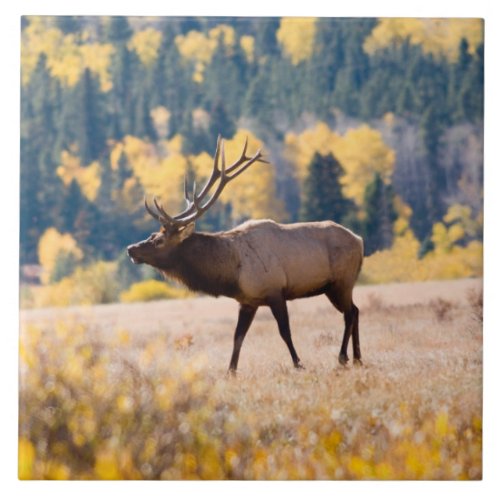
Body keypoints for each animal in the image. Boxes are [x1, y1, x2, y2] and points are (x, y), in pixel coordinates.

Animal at [127, 137, 364, 372]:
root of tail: (360, 240)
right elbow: (237, 337)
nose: (131, 249)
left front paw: (298, 364)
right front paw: (230, 371)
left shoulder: (275, 291)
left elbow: (285, 331)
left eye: (159, 240)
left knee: (349, 313)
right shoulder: (248, 301)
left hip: (341, 281)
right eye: (152, 234)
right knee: (355, 310)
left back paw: (343, 357)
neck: (231, 273)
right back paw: (358, 358)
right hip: (336, 286)